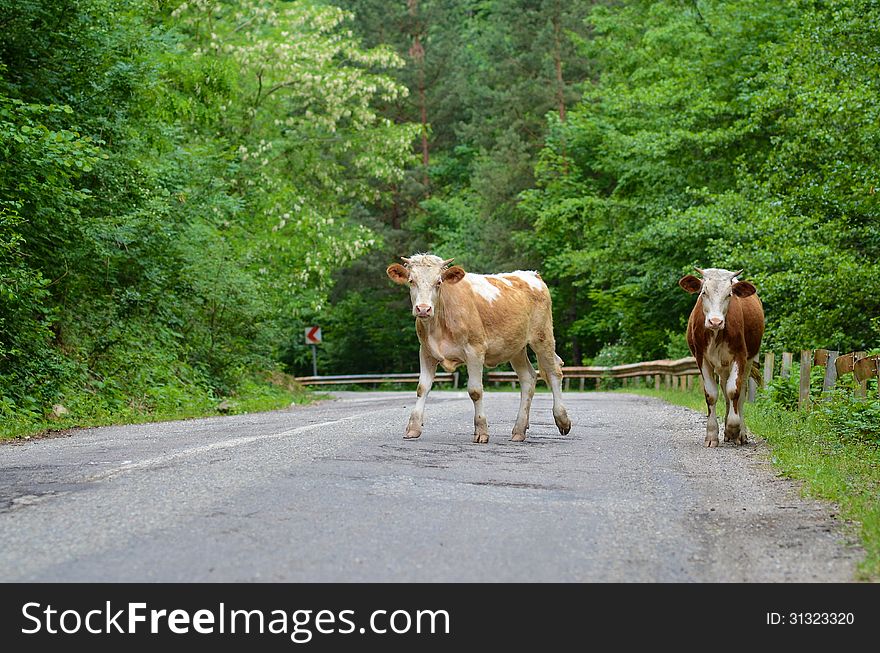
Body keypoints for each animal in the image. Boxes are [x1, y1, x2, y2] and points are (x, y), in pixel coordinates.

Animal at [384, 253, 572, 444]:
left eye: (439, 282)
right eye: (411, 281)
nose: (423, 309)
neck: (439, 326)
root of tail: (531, 274)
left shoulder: (475, 350)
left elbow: (475, 391)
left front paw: (481, 431)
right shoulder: (426, 351)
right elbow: (422, 388)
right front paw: (413, 428)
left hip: (542, 336)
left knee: (554, 371)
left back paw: (562, 420)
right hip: (516, 347)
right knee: (528, 378)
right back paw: (519, 430)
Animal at [680, 268, 764, 446]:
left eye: (729, 294)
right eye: (703, 292)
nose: (715, 321)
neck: (716, 334)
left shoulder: (740, 356)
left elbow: (734, 391)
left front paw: (733, 428)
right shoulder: (701, 358)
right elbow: (711, 394)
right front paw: (712, 434)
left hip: (749, 360)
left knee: (740, 393)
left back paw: (740, 433)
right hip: (722, 366)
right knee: (725, 392)